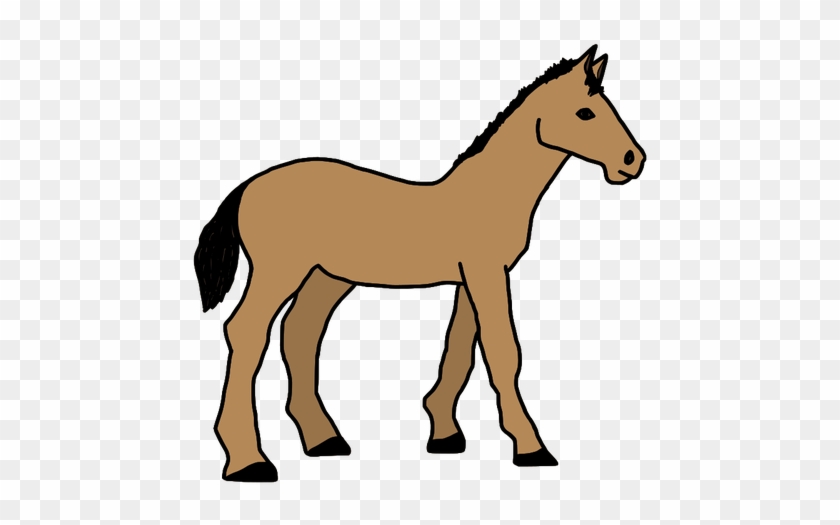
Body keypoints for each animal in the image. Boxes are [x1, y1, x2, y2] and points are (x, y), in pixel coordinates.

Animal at [194, 45, 646, 482]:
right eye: (585, 112)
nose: (632, 160)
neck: (490, 192)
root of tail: (248, 186)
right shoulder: (486, 273)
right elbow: (502, 352)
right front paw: (530, 447)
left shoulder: (470, 279)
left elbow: (460, 349)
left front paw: (444, 432)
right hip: (280, 271)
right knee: (248, 332)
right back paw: (248, 461)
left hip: (327, 277)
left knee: (301, 333)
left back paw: (323, 439)